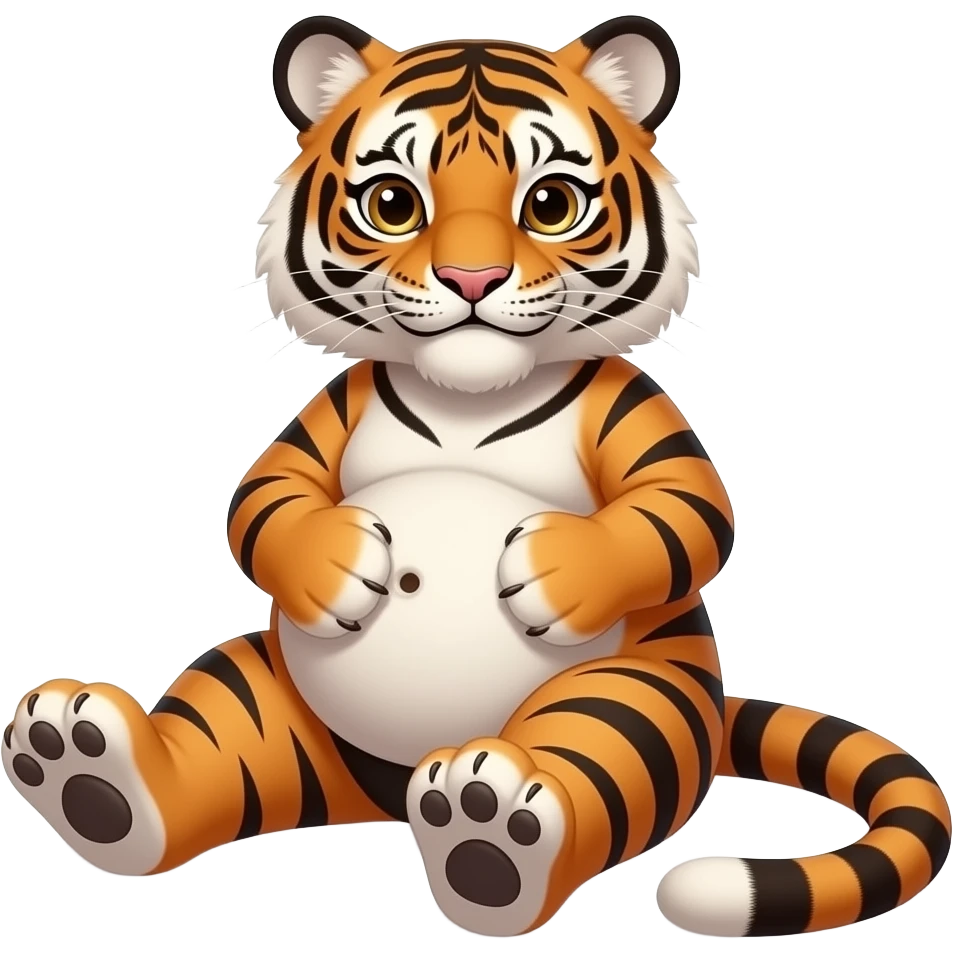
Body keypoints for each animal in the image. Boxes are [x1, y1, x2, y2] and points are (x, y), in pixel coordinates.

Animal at [2, 13, 949, 939]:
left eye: (550, 204)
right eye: (393, 204)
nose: (471, 277)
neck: (465, 392)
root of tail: (385, 792)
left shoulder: (642, 424)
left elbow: (682, 516)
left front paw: (550, 569)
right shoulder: (325, 417)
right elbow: (264, 501)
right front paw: (336, 563)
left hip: (636, 696)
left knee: (584, 767)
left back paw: (487, 832)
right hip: (264, 690)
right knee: (208, 738)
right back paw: (91, 779)